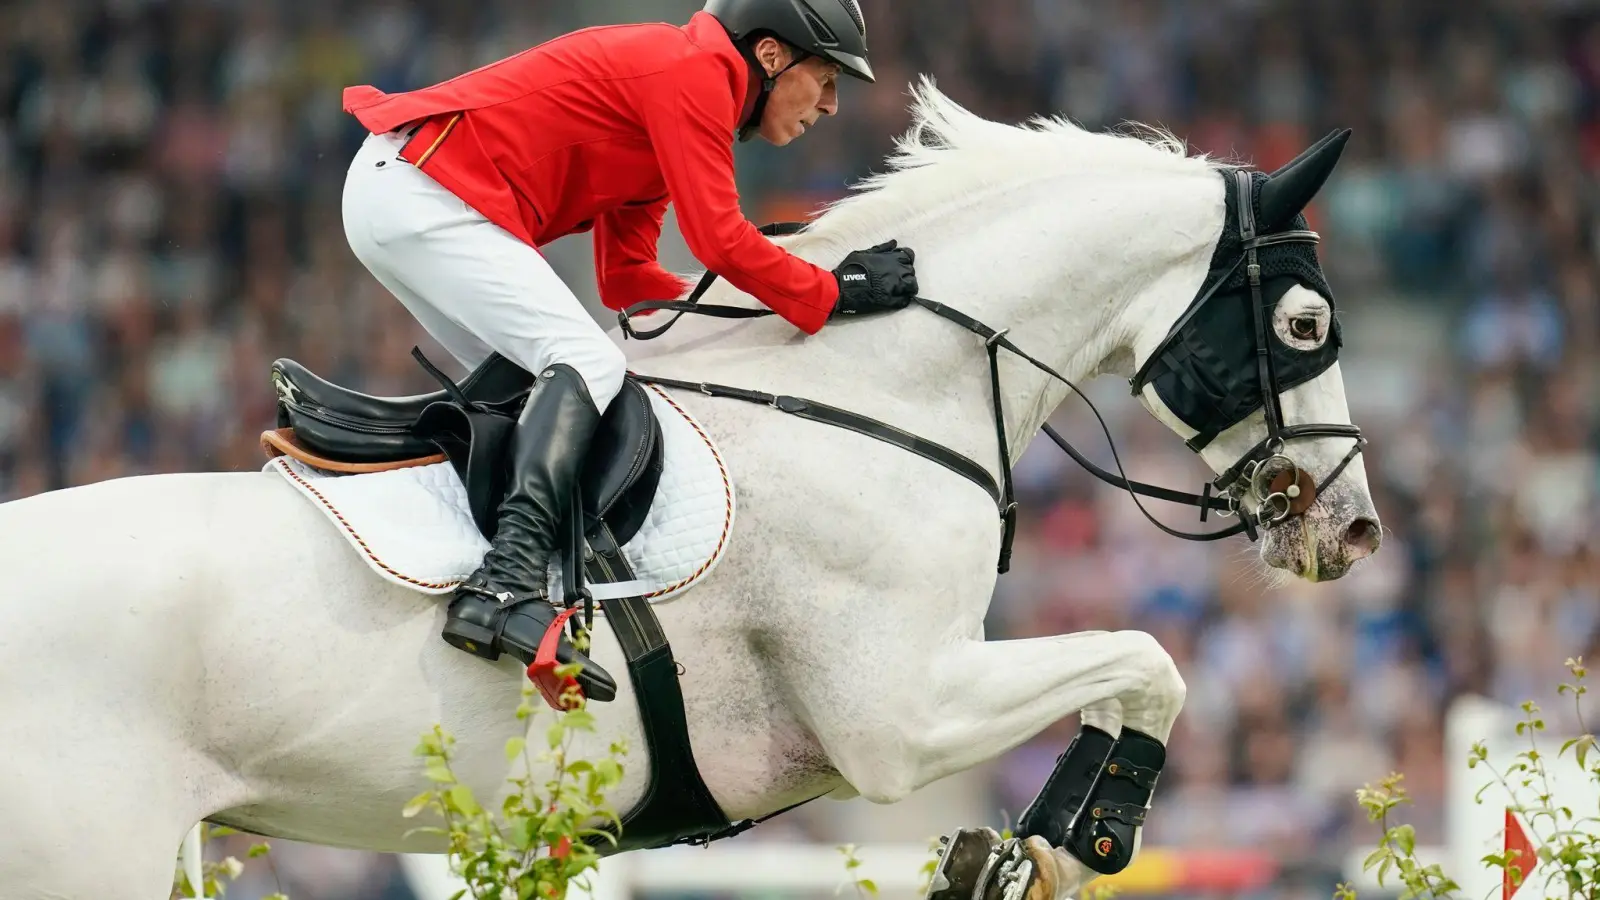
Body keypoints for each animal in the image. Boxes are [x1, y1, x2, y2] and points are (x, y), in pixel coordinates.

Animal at [0, 78, 1376, 896]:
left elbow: (1135, 666)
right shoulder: (897, 719)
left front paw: (1025, 848)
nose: (1354, 531)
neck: (870, 395)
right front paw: (1084, 834)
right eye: (1306, 324)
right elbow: (1147, 659)